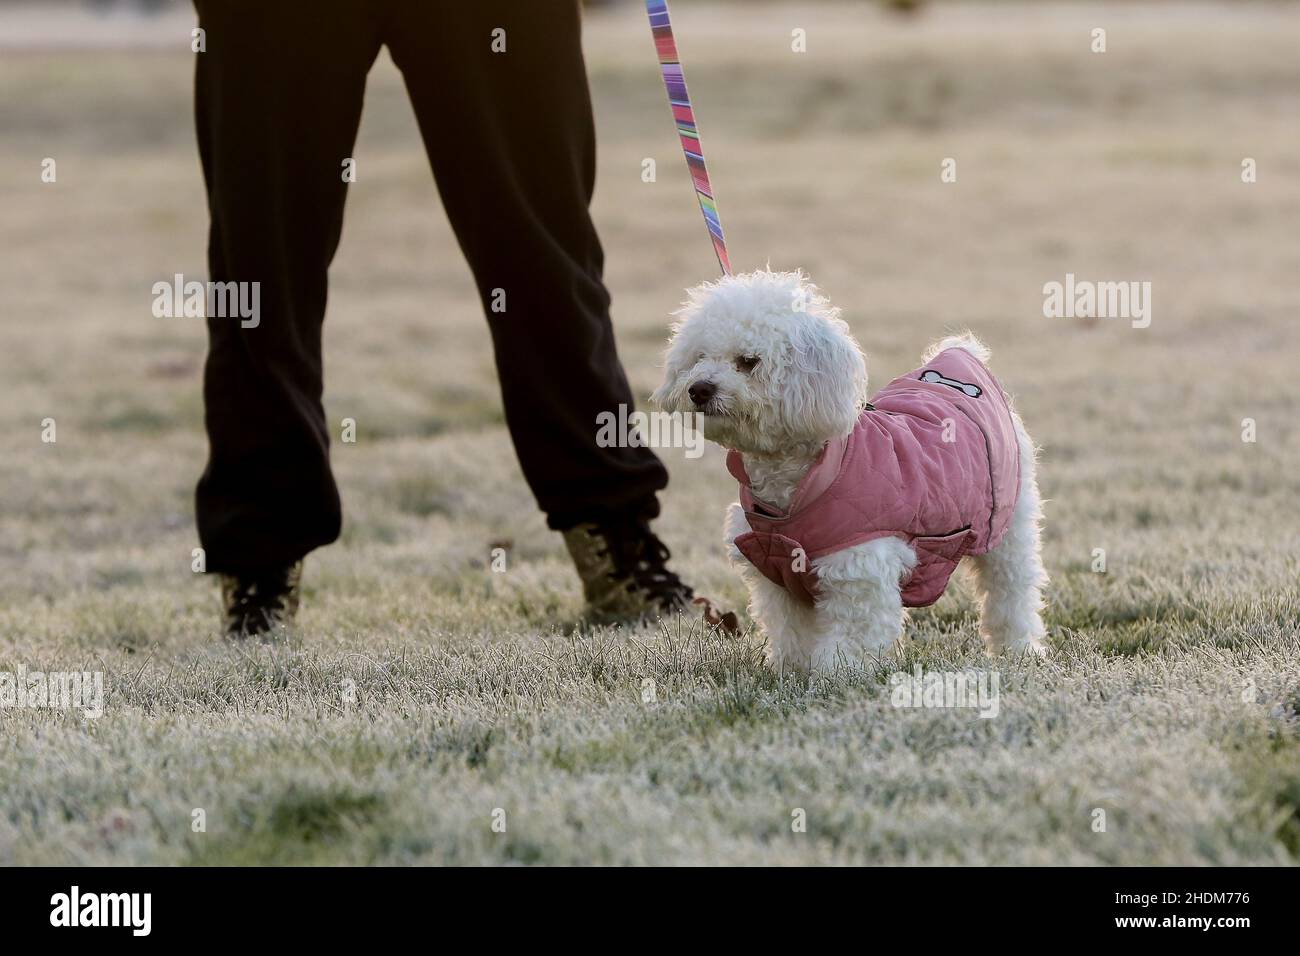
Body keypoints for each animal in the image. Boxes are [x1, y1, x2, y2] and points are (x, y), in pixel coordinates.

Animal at [650, 269, 1045, 671]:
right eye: (699, 357)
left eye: (748, 361)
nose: (699, 388)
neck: (797, 485)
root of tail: (960, 356)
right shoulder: (778, 575)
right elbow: (790, 631)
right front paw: (789, 671)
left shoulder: (859, 571)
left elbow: (850, 639)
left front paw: (836, 675)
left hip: (1007, 527)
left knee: (1011, 592)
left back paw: (1018, 650)